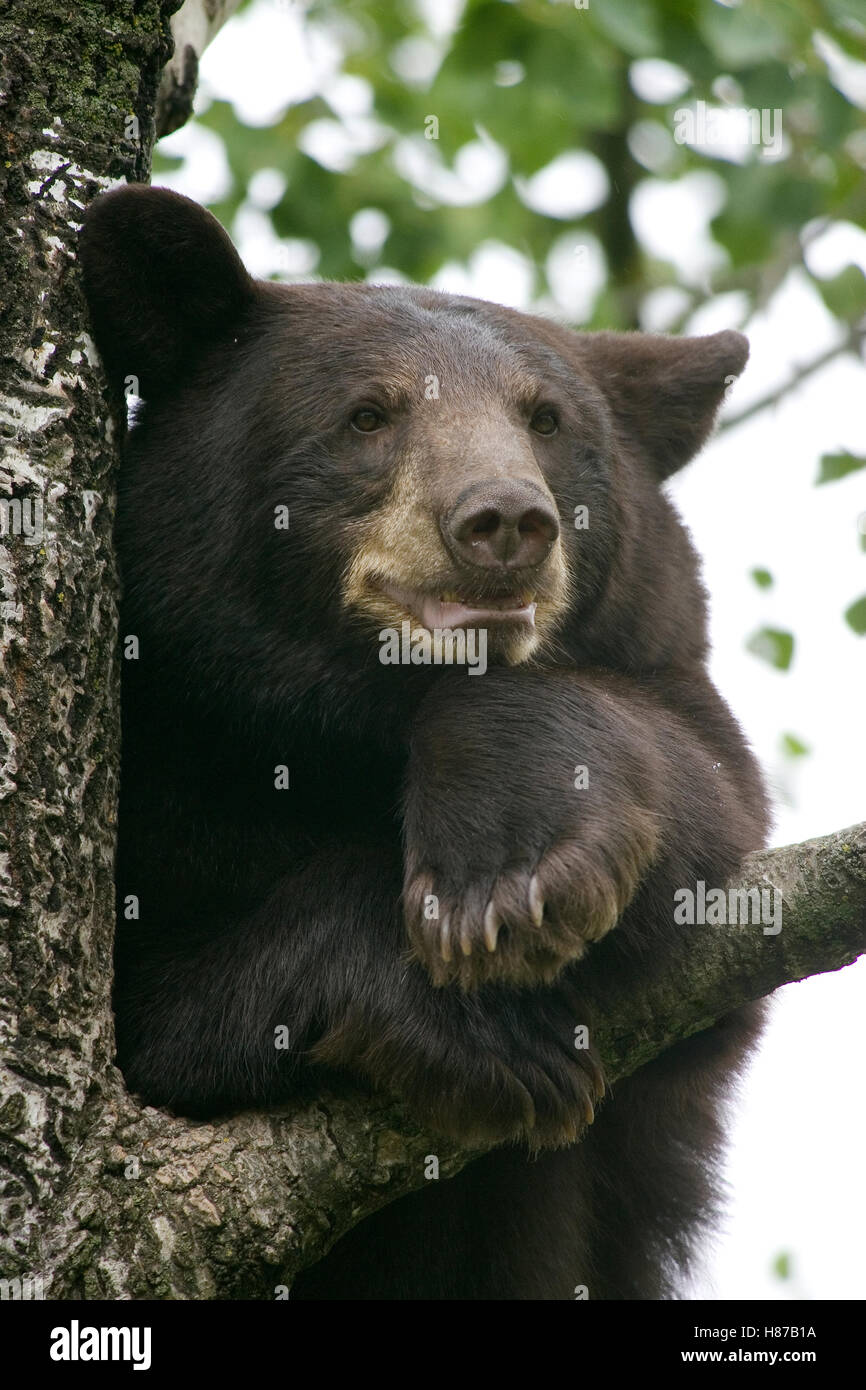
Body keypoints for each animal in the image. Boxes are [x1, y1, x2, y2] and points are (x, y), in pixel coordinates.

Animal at [79, 183, 769, 1301]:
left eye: (545, 417)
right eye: (368, 413)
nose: (503, 520)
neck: (344, 726)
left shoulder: (665, 673)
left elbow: (707, 819)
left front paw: (511, 875)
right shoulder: (166, 751)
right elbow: (153, 1016)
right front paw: (472, 1025)